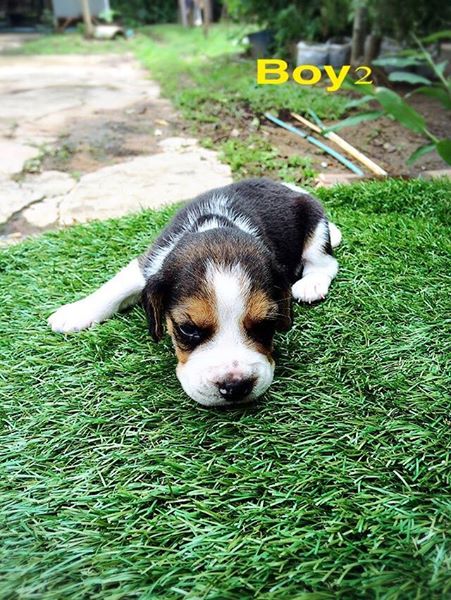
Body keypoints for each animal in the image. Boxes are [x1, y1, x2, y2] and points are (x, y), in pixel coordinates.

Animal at [48, 178, 341, 407]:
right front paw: (75, 313)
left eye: (265, 324)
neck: (214, 228)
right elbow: (114, 288)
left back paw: (312, 283)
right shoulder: (149, 264)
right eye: (188, 329)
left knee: (325, 262)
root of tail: (289, 188)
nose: (234, 386)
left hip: (314, 225)